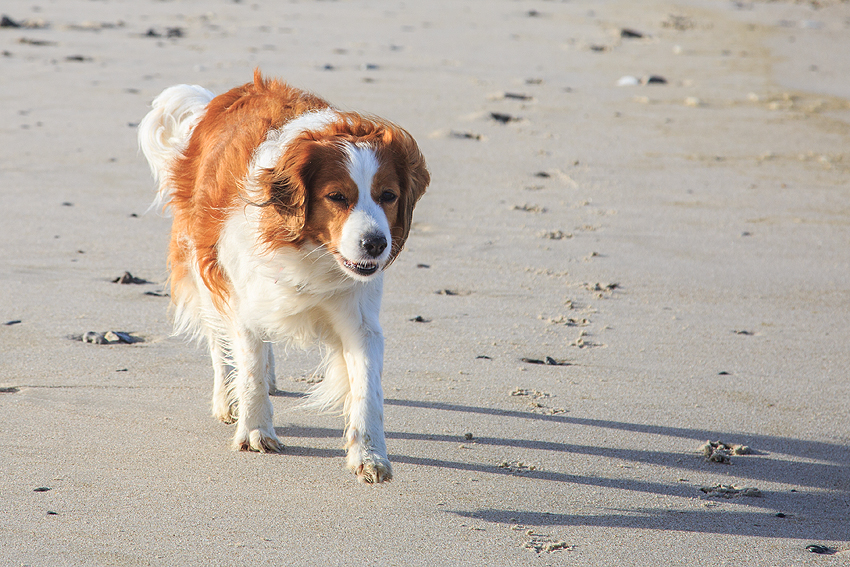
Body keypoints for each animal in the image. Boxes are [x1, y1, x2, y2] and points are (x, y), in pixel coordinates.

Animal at [141, 69, 430, 482]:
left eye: (388, 196)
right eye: (337, 197)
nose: (376, 244)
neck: (309, 249)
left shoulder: (359, 319)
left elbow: (367, 390)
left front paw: (370, 454)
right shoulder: (240, 297)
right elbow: (248, 371)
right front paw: (255, 429)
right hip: (204, 265)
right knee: (219, 343)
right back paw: (225, 399)